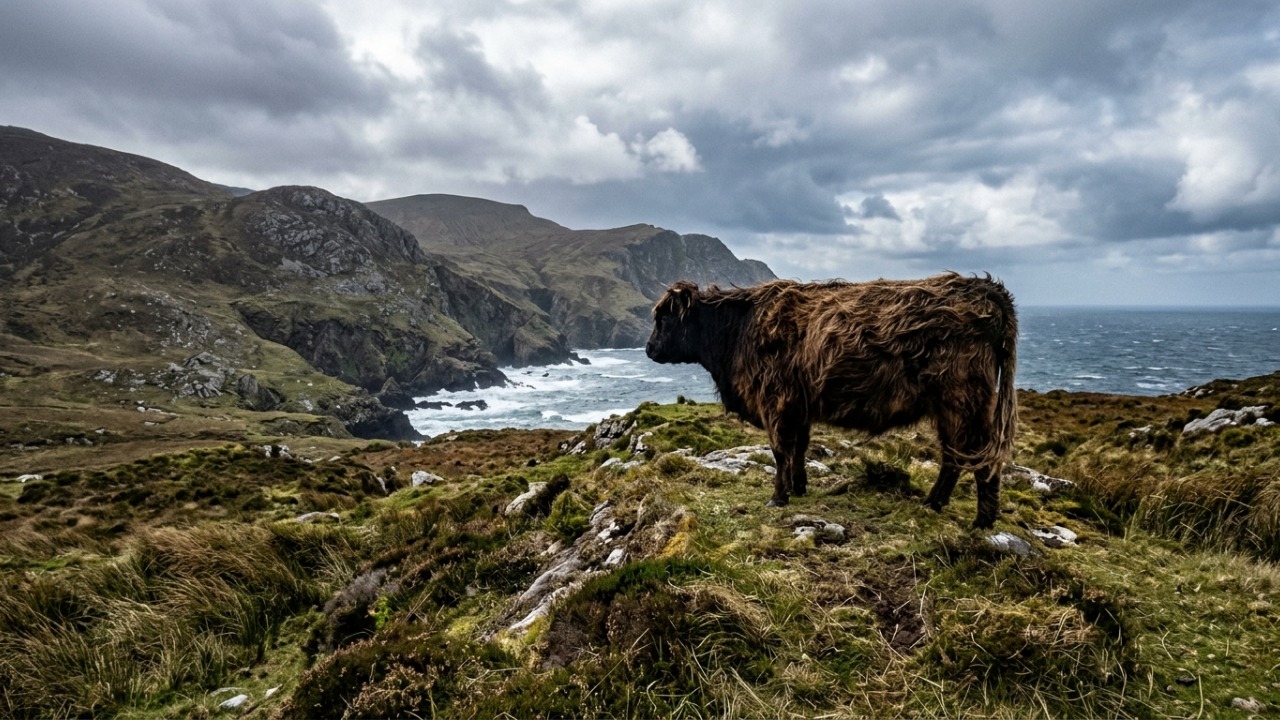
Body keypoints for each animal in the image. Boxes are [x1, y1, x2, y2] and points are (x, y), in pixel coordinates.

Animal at [645, 272, 1018, 528]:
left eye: (663, 318)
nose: (648, 349)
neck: (736, 333)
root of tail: (983, 289)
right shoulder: (798, 406)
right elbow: (799, 448)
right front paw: (798, 488)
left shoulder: (776, 401)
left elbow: (780, 450)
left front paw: (778, 497)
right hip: (954, 407)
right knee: (956, 457)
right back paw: (935, 504)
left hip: (964, 400)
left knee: (978, 457)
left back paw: (982, 521)